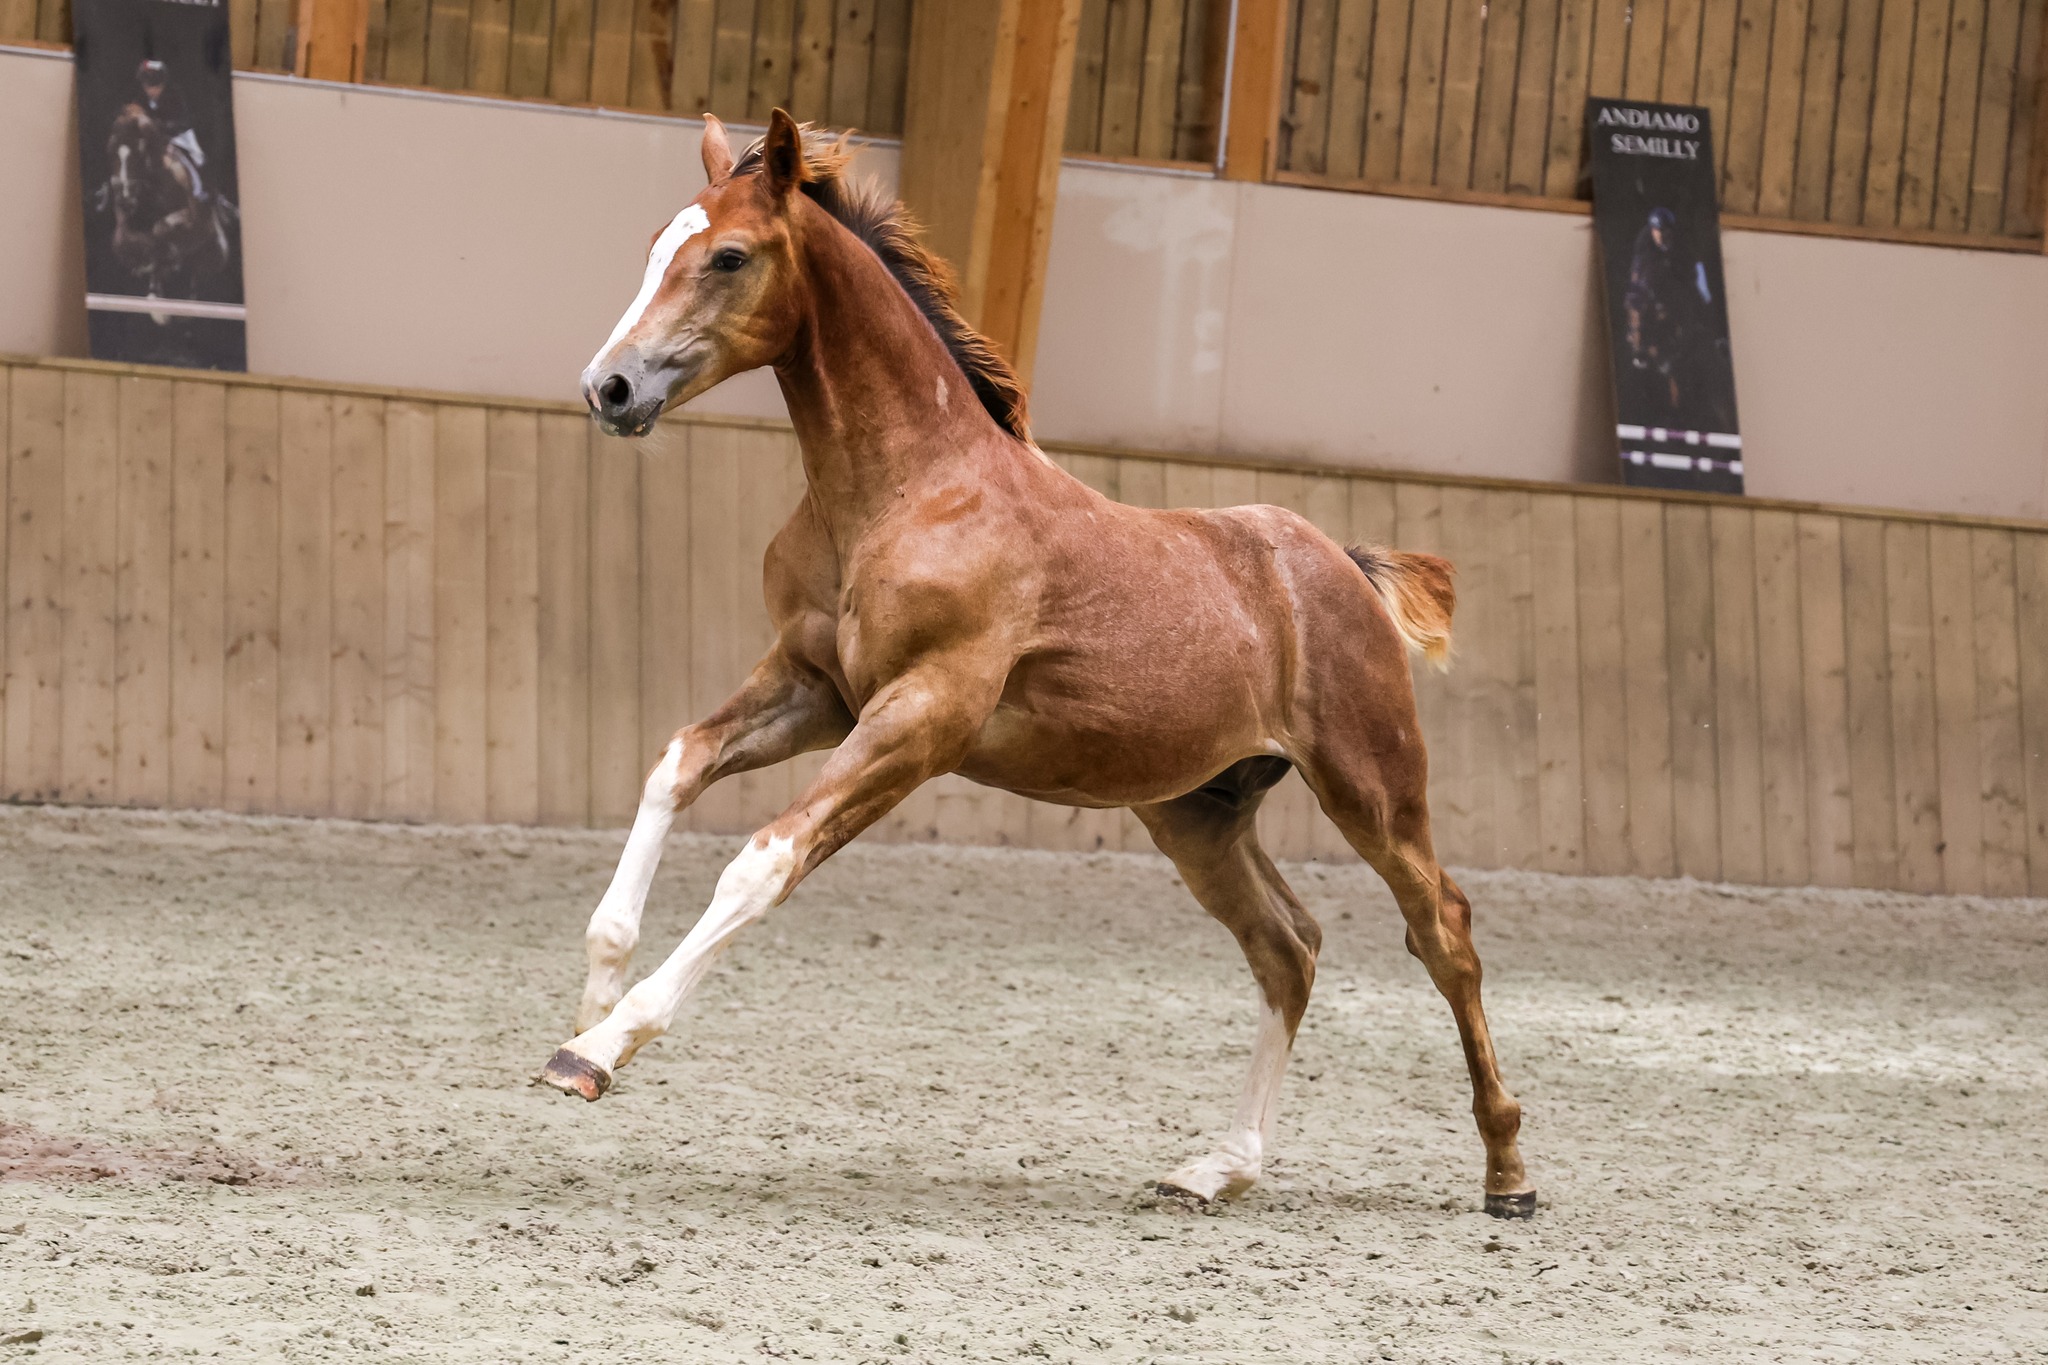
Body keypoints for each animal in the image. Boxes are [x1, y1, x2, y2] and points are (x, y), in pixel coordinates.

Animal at [101, 103, 236, 302]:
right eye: (110, 151)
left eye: (139, 151)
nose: (124, 199)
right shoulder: (126, 221)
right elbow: (123, 240)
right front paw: (145, 264)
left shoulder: (191, 221)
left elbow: (160, 230)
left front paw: (162, 257)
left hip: (213, 256)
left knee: (196, 279)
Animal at [536, 110, 1536, 1218]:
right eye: (656, 247)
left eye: (729, 256)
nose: (609, 387)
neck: (911, 490)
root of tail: (1341, 566)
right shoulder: (815, 690)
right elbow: (675, 762)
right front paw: (592, 996)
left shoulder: (924, 716)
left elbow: (761, 862)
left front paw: (598, 1050)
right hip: (1197, 811)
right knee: (1288, 947)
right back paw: (1217, 1167)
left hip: (1372, 786)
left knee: (1443, 931)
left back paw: (1507, 1173)